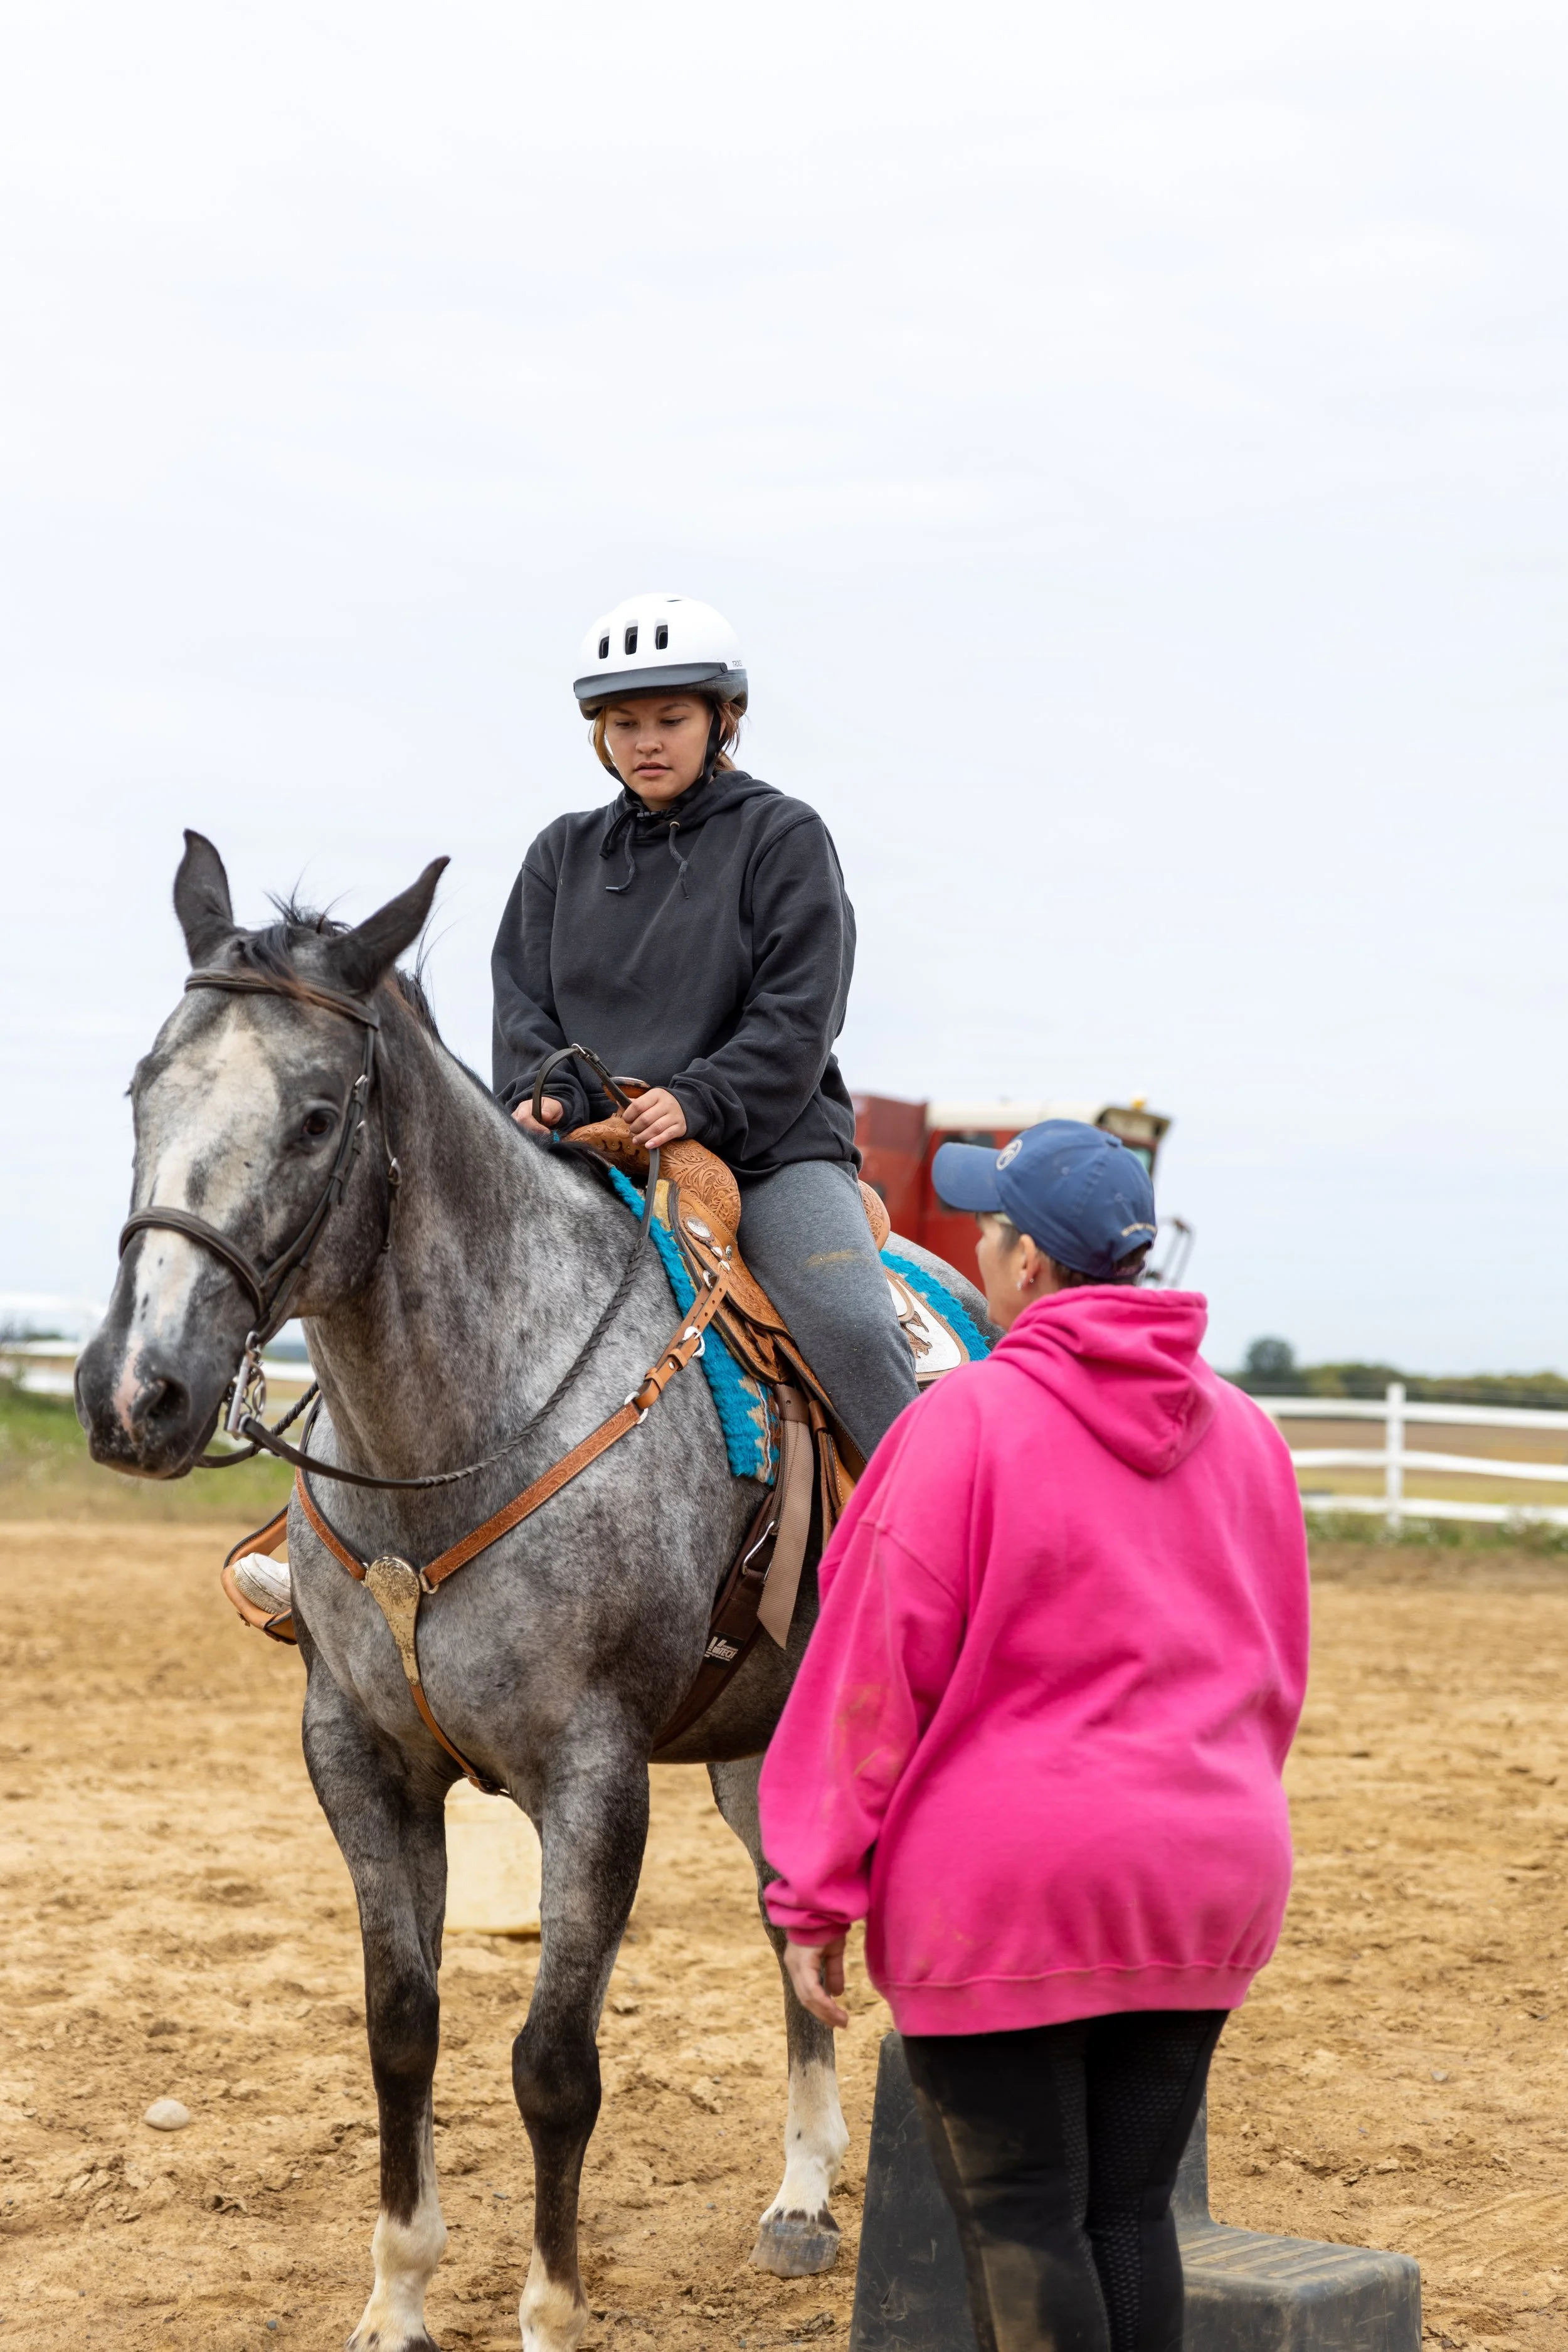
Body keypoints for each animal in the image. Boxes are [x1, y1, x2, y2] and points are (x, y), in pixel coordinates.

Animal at [76, 834, 970, 2352]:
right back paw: (799, 2198)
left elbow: (555, 2063)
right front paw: (396, 2301)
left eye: (317, 1117)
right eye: (146, 1088)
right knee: (790, 1915)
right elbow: (401, 2031)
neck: (457, 1432)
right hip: (755, 1753)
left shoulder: (593, 1779)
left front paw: (550, 2312)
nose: (139, 1395)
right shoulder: (360, 1761)